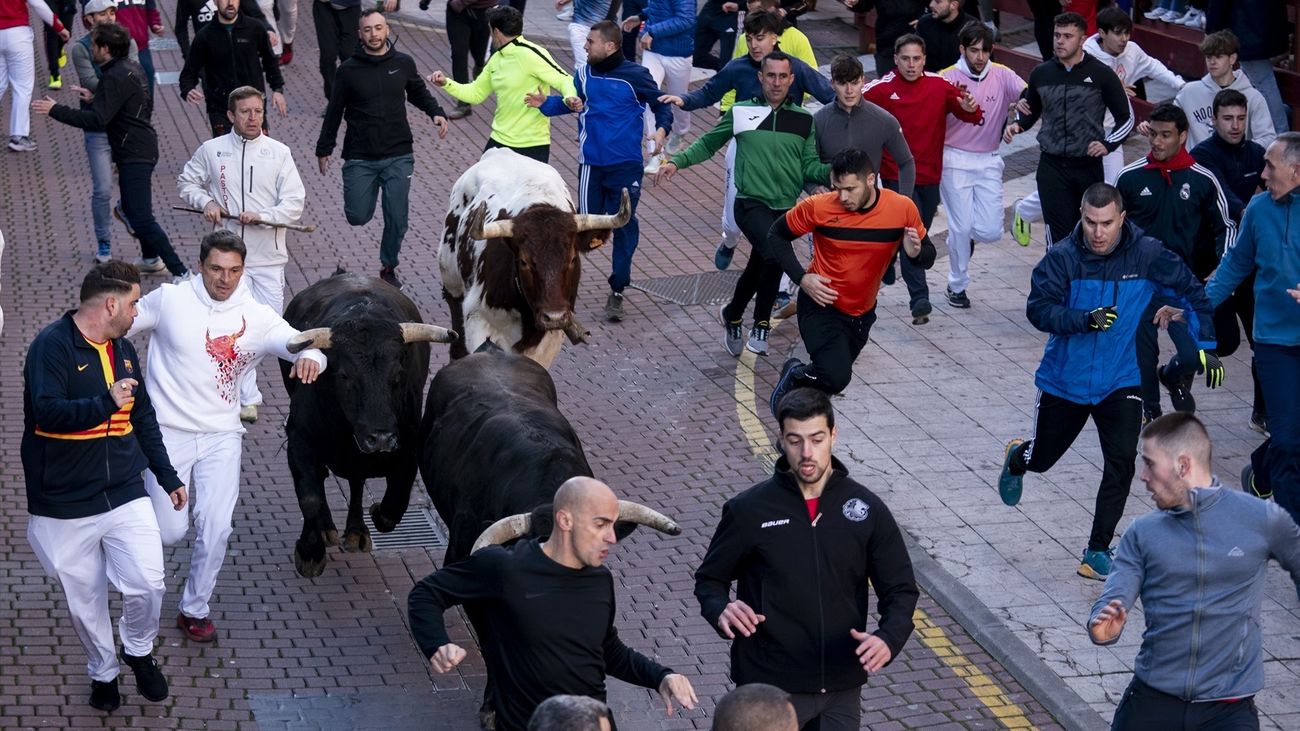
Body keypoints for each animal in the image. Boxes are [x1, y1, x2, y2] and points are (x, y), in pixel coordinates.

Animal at [279, 270, 452, 577]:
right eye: (345, 375)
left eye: (398, 374)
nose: (380, 437)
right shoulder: (299, 438)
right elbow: (310, 497)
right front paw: (310, 552)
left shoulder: (408, 450)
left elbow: (395, 505)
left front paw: (374, 515)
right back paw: (328, 529)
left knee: (357, 482)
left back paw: (357, 531)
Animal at [439, 146, 631, 366]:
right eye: (524, 261)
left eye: (573, 259)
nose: (554, 316)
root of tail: (500, 151)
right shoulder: (478, 318)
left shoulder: (551, 337)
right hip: (449, 274)